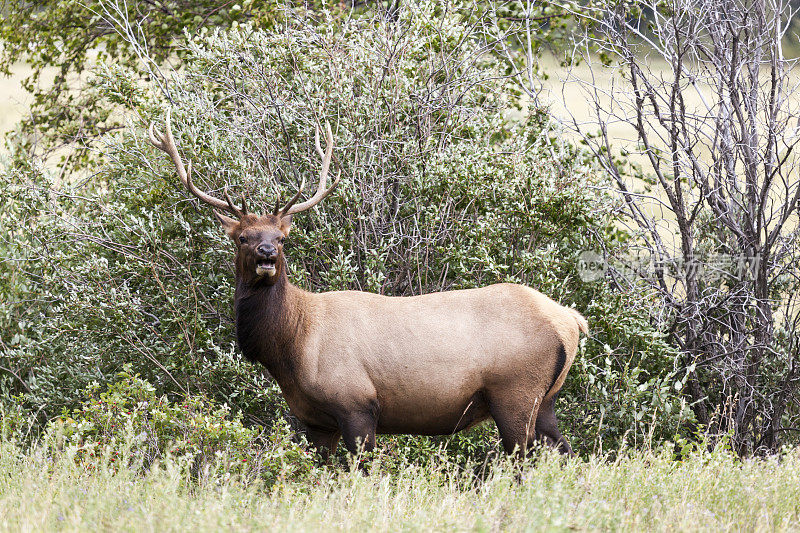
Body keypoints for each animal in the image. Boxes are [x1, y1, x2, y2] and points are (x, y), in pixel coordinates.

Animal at [148, 112, 588, 458]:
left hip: (515, 392)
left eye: (283, 237)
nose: (267, 254)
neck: (292, 345)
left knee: (523, 461)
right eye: (243, 237)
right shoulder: (314, 419)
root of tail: (571, 320)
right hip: (546, 399)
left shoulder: (356, 402)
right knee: (565, 452)